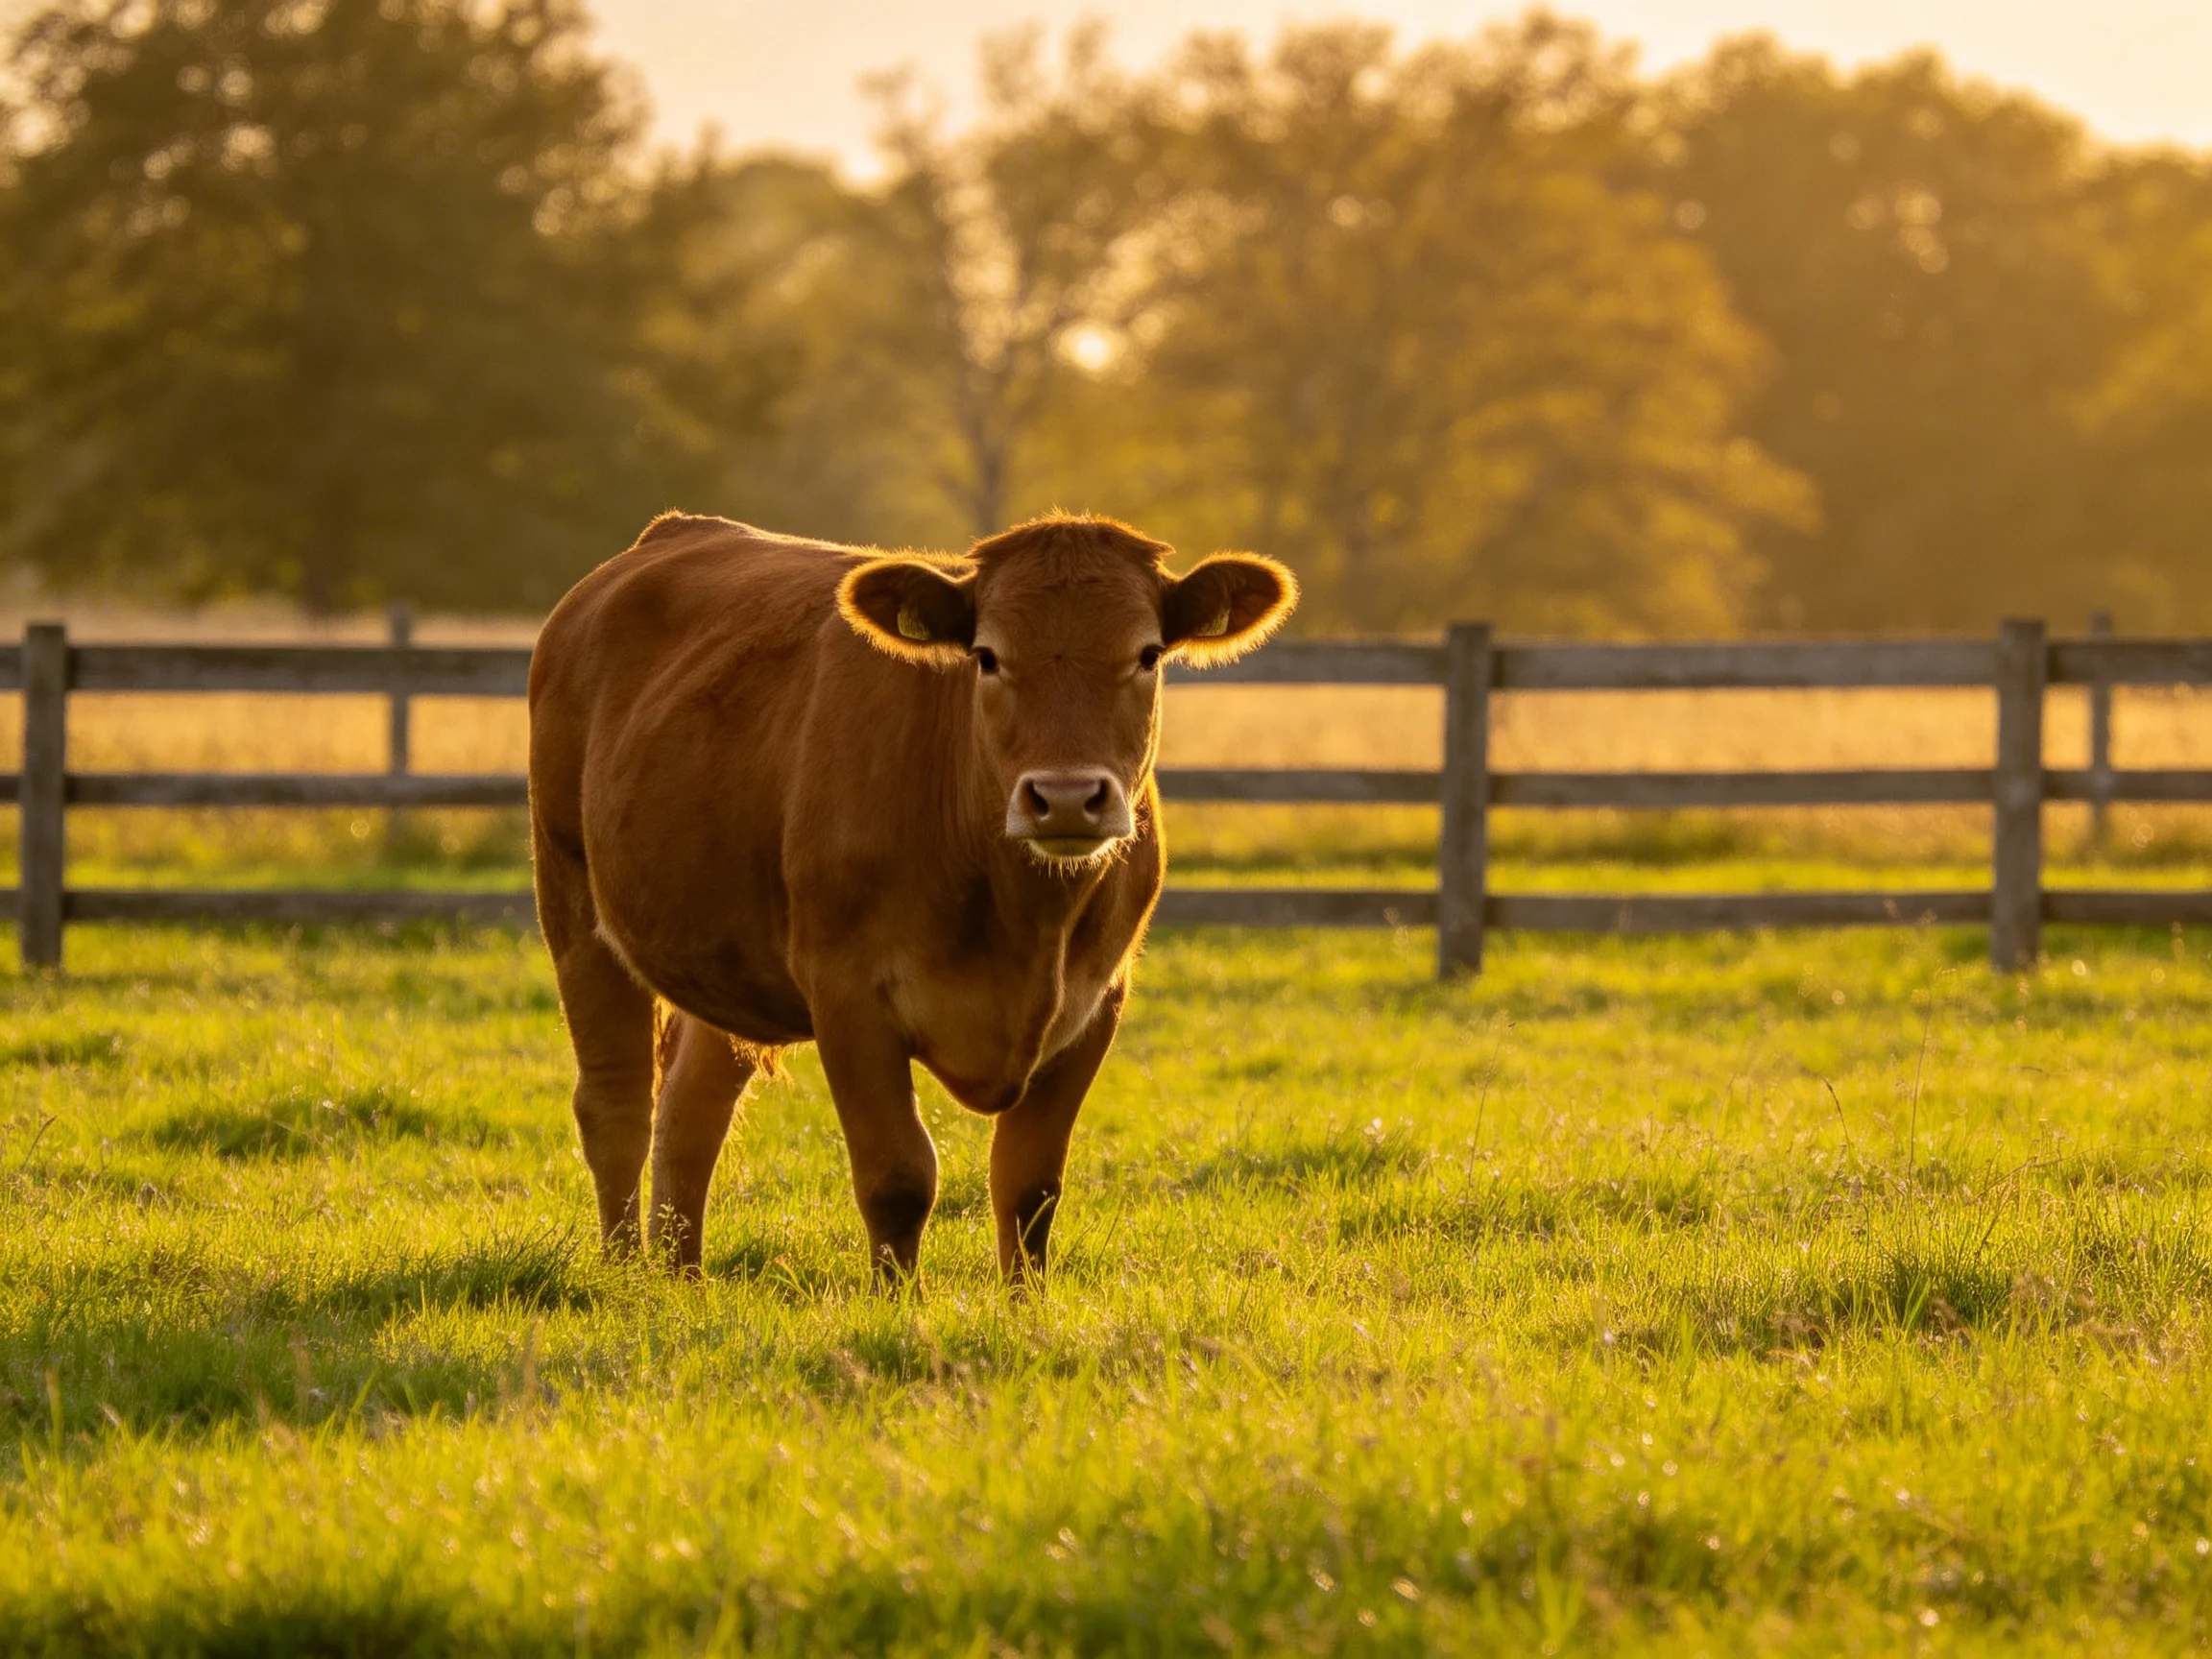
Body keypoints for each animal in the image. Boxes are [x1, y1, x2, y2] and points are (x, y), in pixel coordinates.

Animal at [527, 512, 1296, 1284]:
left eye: (1147, 654)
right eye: (987, 656)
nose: (1067, 797)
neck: (1023, 921)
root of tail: (673, 532)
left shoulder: (1097, 1000)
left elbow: (1030, 1187)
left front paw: (1026, 1309)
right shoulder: (847, 994)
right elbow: (897, 1179)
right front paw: (896, 1306)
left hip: (727, 951)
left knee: (691, 1109)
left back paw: (681, 1278)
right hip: (572, 900)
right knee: (617, 1104)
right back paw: (625, 1277)